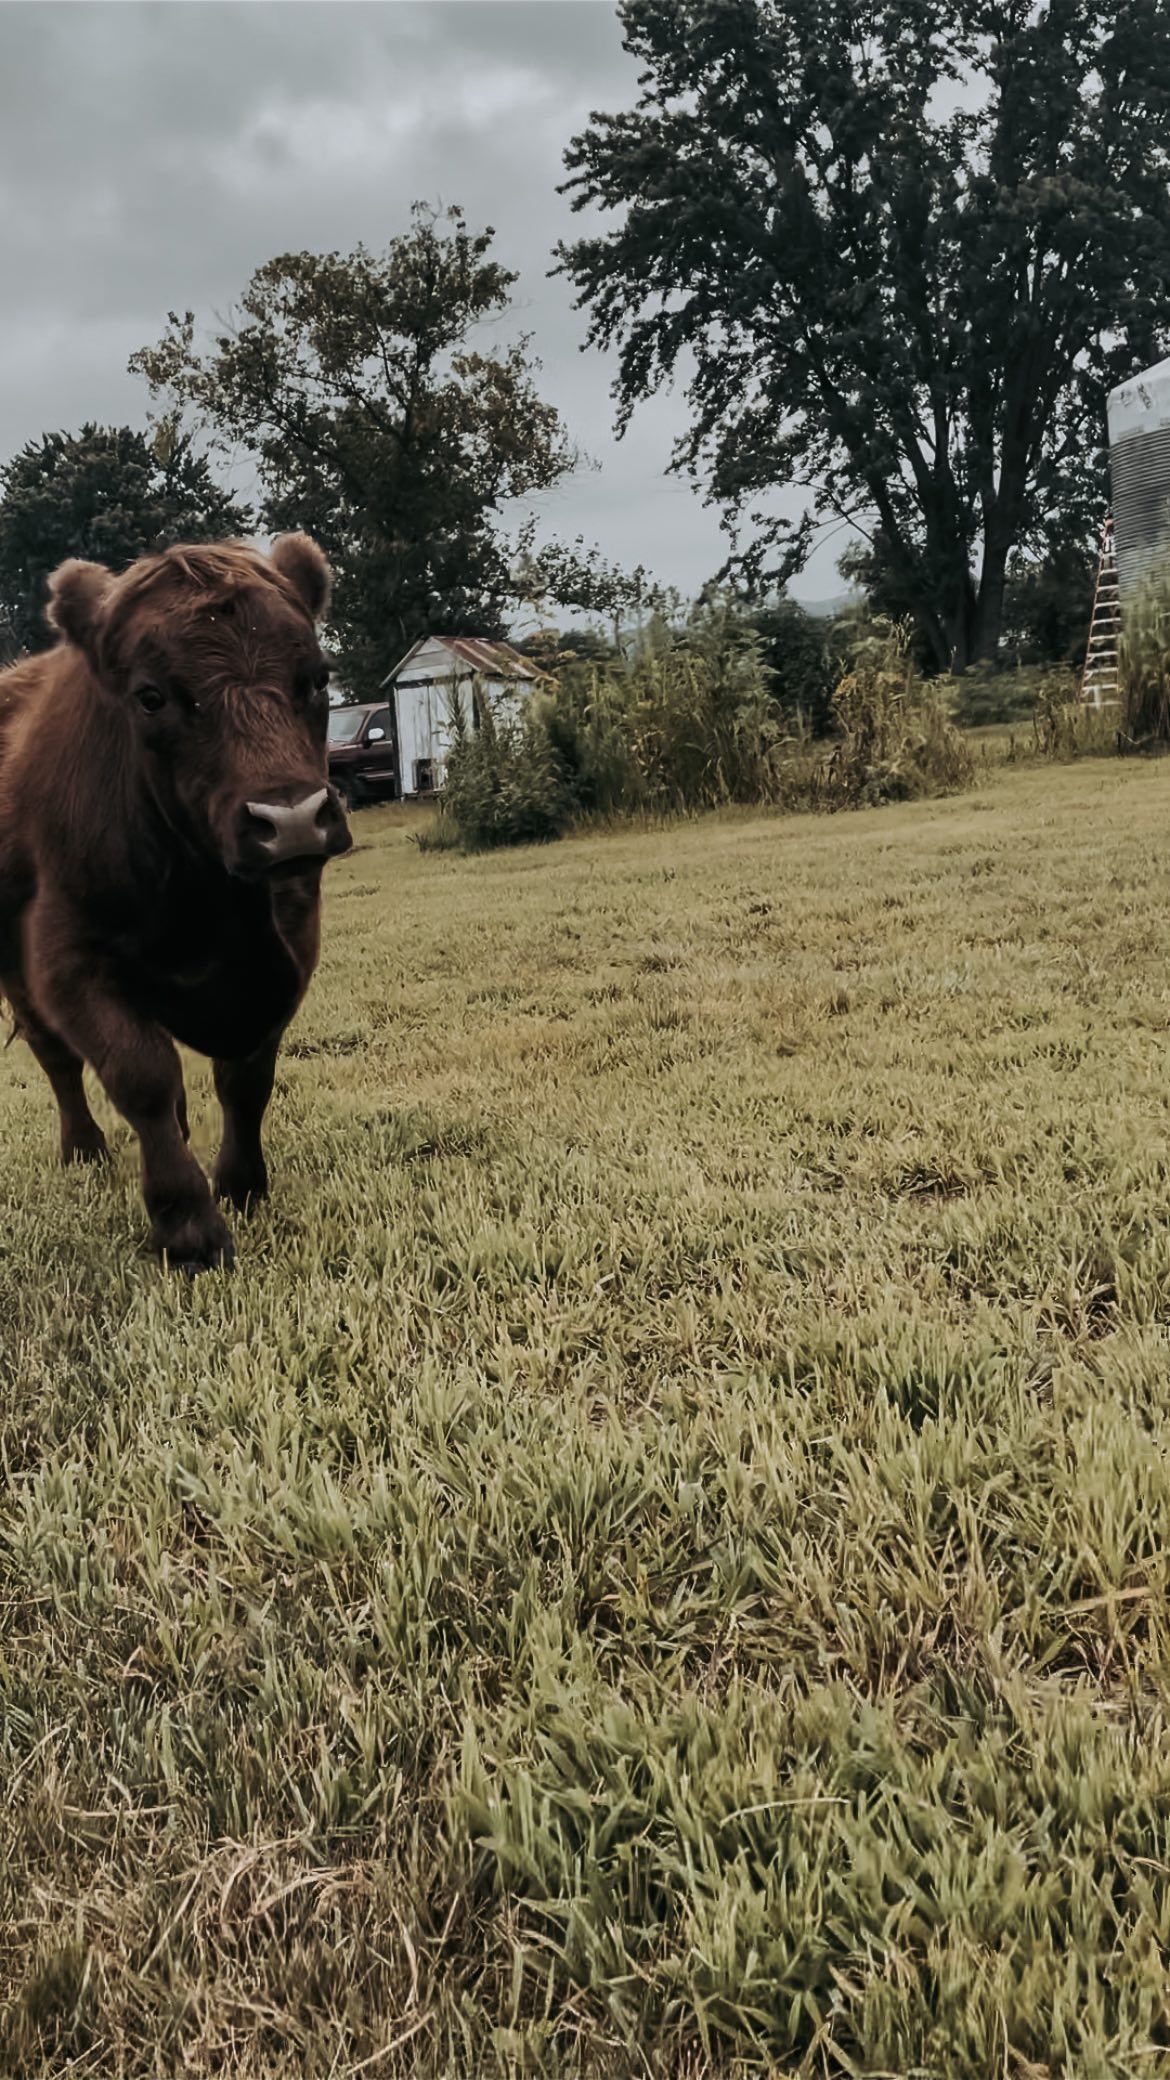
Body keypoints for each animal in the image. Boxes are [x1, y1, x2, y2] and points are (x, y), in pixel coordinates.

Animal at [0, 533, 352, 1273]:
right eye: (151, 696)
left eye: (317, 676)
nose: (291, 821)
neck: (206, 903)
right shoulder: (67, 959)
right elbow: (142, 1077)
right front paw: (188, 1227)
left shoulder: (287, 954)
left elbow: (245, 1080)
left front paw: (242, 1186)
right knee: (57, 1058)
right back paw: (84, 1149)